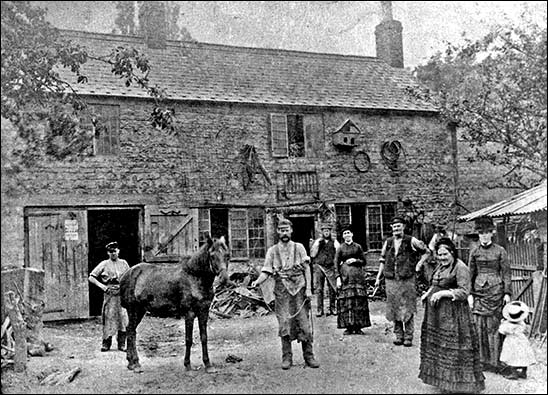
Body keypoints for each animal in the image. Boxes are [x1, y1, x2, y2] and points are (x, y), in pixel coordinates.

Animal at [120, 237, 229, 372]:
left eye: (227, 255)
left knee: (131, 330)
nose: (224, 279)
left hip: (140, 310)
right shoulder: (189, 313)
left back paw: (133, 362)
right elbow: (188, 339)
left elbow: (204, 337)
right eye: (212, 256)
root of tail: (128, 273)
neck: (194, 277)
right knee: (131, 332)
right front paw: (187, 364)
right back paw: (134, 364)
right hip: (133, 309)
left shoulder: (204, 312)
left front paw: (208, 365)